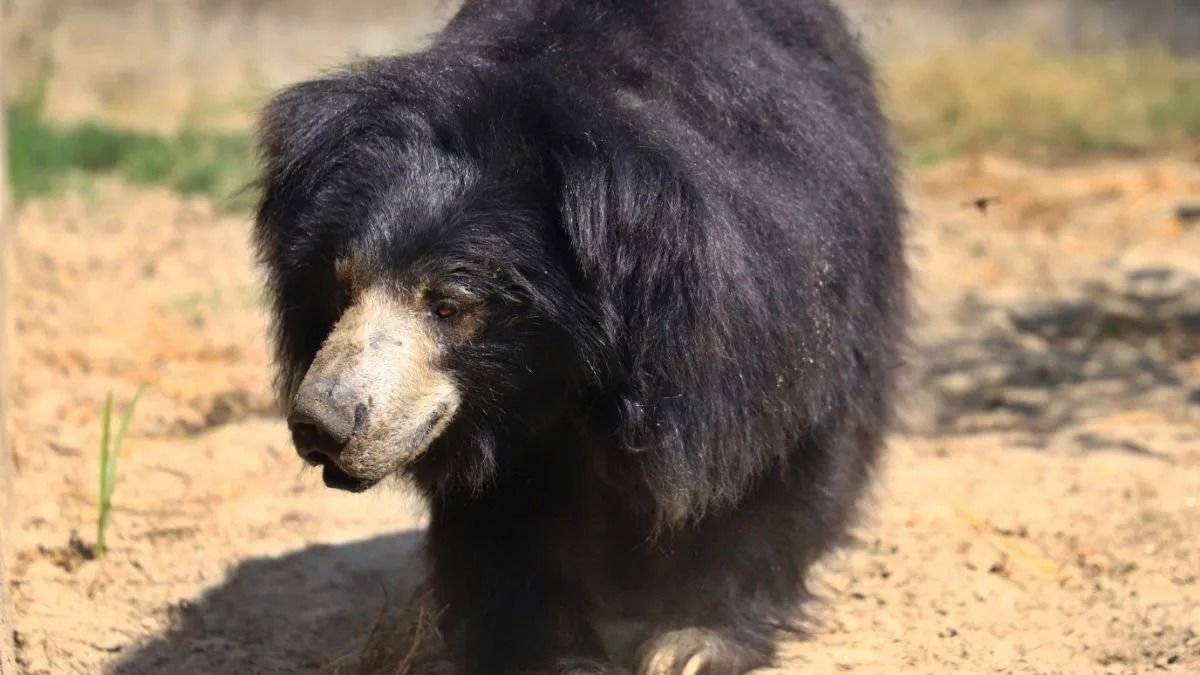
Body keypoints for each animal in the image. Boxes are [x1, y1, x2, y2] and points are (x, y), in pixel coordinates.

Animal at [254, 0, 906, 673]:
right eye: (343, 285)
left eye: (448, 306)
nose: (320, 425)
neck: (559, 374)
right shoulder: (502, 422)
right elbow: (508, 524)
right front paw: (551, 653)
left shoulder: (783, 306)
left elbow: (771, 461)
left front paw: (693, 644)